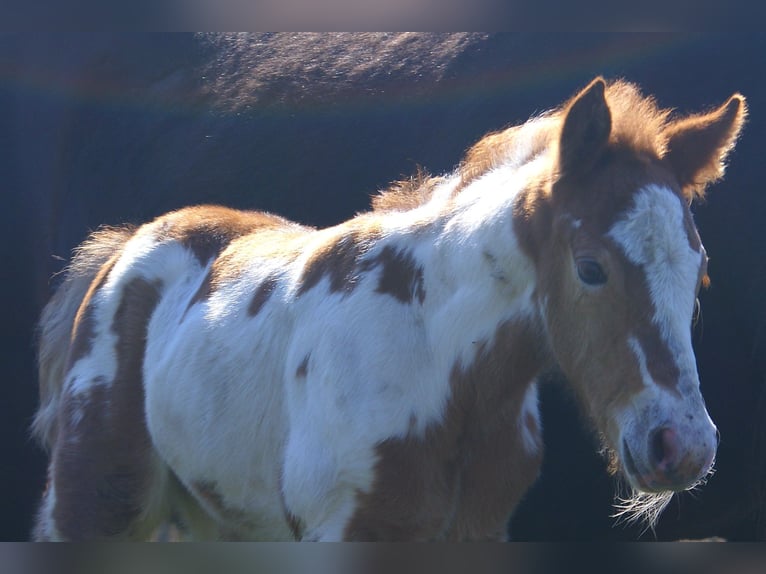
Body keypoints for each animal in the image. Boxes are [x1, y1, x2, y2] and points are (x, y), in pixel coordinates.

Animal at [31, 77, 746, 541]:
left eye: (701, 274)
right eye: (591, 268)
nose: (682, 446)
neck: (435, 362)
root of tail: (130, 245)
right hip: (96, 504)